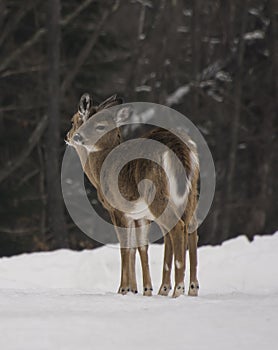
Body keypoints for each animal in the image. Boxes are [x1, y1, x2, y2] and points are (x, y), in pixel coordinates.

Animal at [65, 93, 200, 298]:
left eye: (73, 121)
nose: (72, 136)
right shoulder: (139, 215)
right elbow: (141, 246)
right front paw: (142, 289)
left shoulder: (117, 209)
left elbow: (125, 246)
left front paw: (124, 289)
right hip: (190, 193)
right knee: (191, 226)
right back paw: (190, 288)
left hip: (158, 194)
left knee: (177, 227)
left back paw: (177, 289)